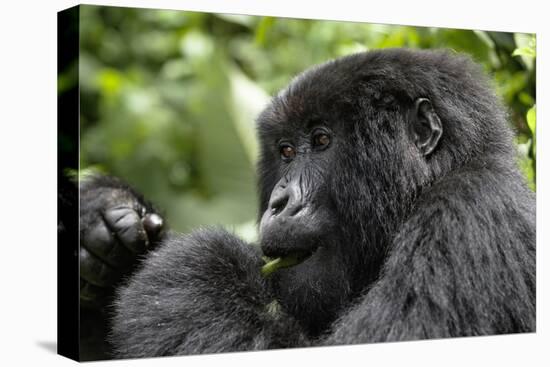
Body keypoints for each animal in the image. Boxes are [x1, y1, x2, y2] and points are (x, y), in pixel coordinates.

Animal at [80, 49, 536, 360]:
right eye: (285, 151)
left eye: (320, 140)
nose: (280, 202)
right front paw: (102, 215)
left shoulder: (468, 215)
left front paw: (195, 265)